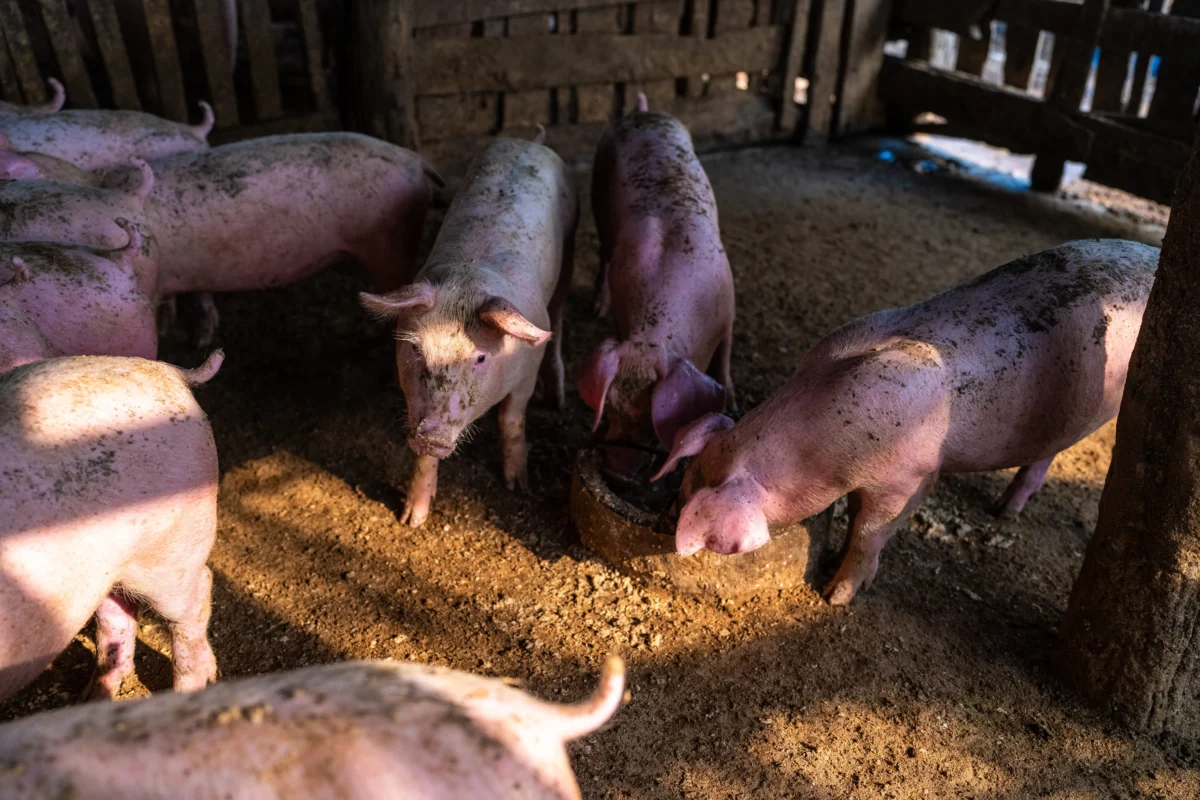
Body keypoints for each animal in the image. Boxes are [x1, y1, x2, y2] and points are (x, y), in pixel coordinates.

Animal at [0, 351, 222, 700]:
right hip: (107, 568)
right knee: (117, 615)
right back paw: (93, 696)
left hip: (173, 547)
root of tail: (169, 371)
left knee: (197, 595)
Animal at [361, 134, 577, 528]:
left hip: (570, 242)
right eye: (415, 349)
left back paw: (556, 398)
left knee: (559, 314)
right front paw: (411, 520)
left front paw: (517, 486)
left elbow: (511, 419)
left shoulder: (527, 370)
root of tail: (530, 140)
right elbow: (423, 460)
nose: (430, 435)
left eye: (479, 357)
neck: (466, 282)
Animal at [578, 92, 735, 482]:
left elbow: (724, 359)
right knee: (602, 253)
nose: (617, 474)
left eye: (653, 425)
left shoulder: (729, 310)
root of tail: (643, 112)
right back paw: (595, 308)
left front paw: (734, 398)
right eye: (610, 410)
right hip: (598, 194)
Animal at [655, 240, 1159, 605]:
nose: (666, 518)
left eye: (687, 496)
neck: (819, 450)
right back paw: (1003, 511)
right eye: (683, 482)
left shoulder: (909, 477)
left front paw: (835, 597)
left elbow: (869, 533)